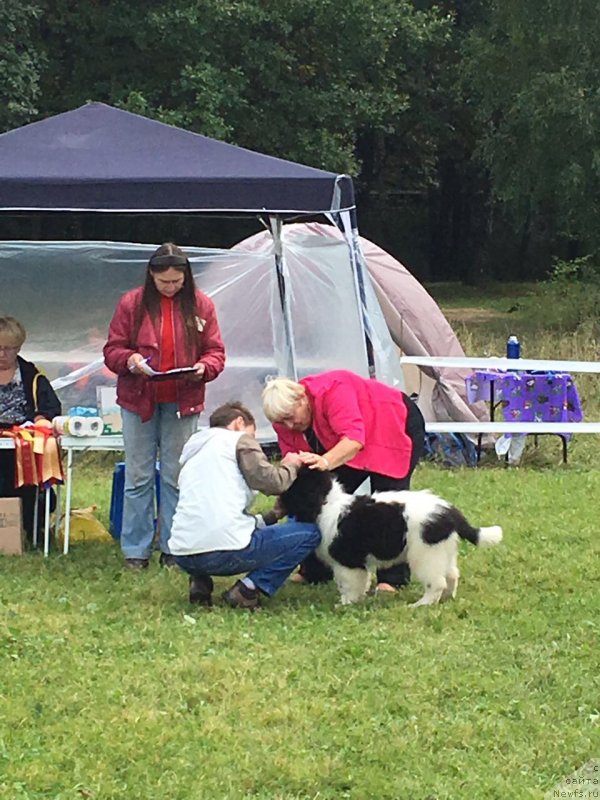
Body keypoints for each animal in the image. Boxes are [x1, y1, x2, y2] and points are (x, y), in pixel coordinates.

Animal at [282, 468, 502, 608]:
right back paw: (447, 598)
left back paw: (421, 604)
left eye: (293, 487)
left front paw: (346, 603)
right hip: (443, 550)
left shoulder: (348, 562)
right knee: (452, 575)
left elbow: (349, 584)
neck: (327, 503)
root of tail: (449, 512)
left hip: (425, 554)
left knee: (437, 582)